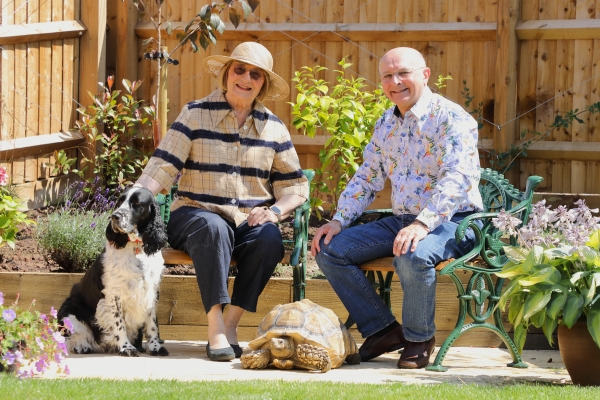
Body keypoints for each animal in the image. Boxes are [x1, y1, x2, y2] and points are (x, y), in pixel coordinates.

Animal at [58, 187, 169, 356]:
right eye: (119, 201)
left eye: (136, 203)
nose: (114, 216)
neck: (136, 248)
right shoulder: (113, 294)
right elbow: (119, 323)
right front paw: (126, 347)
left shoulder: (151, 290)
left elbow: (152, 324)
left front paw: (155, 346)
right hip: (70, 310)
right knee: (74, 334)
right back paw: (81, 345)